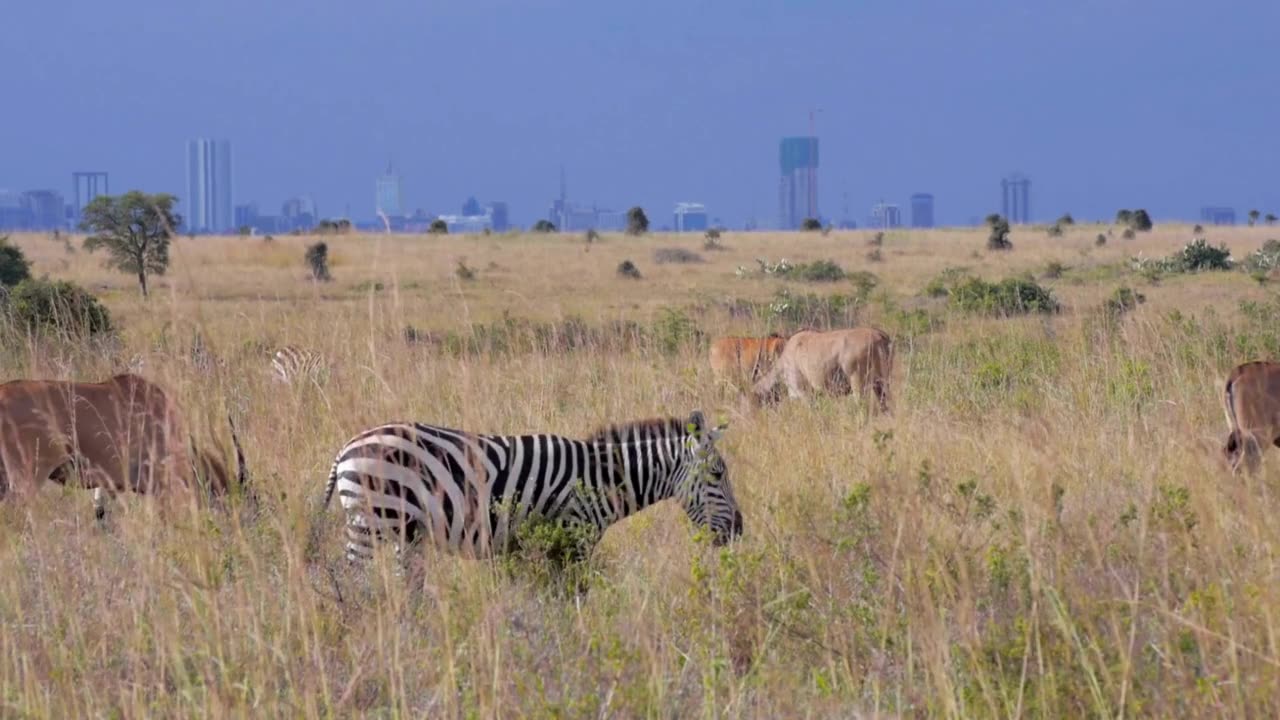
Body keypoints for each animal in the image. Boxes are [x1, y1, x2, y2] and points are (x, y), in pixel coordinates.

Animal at [320, 409, 742, 561]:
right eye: (717, 475)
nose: (739, 531)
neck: (601, 480)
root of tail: (345, 448)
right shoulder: (572, 536)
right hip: (370, 521)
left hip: (404, 531)